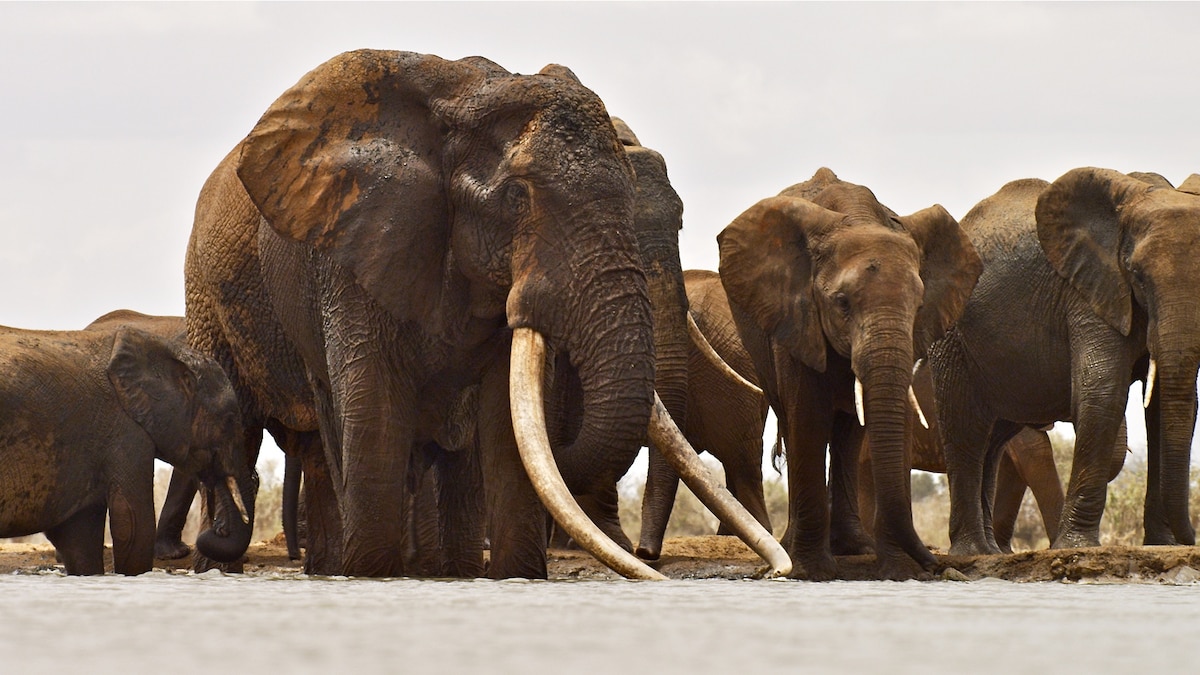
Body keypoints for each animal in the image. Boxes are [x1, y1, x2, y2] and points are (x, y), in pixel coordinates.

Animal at [186, 50, 776, 580]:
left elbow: (507, 424)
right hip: (210, 294)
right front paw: (372, 576)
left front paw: (516, 578)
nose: (651, 558)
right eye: (516, 197)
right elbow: (377, 414)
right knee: (265, 427)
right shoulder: (357, 251)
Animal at [718, 167, 983, 580]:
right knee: (794, 422)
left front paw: (898, 570)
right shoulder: (798, 318)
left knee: (848, 433)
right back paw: (796, 548)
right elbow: (808, 417)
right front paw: (813, 572)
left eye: (919, 305)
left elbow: (894, 420)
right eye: (841, 303)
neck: (858, 217)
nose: (936, 564)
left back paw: (854, 548)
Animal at [928, 168, 1200, 556]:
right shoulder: (1087, 293)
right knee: (965, 430)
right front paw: (1077, 547)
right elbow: (1101, 393)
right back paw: (972, 552)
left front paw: (1160, 547)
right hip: (952, 332)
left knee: (993, 441)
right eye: (1136, 274)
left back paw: (991, 551)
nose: (1190, 540)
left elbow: (1164, 407)